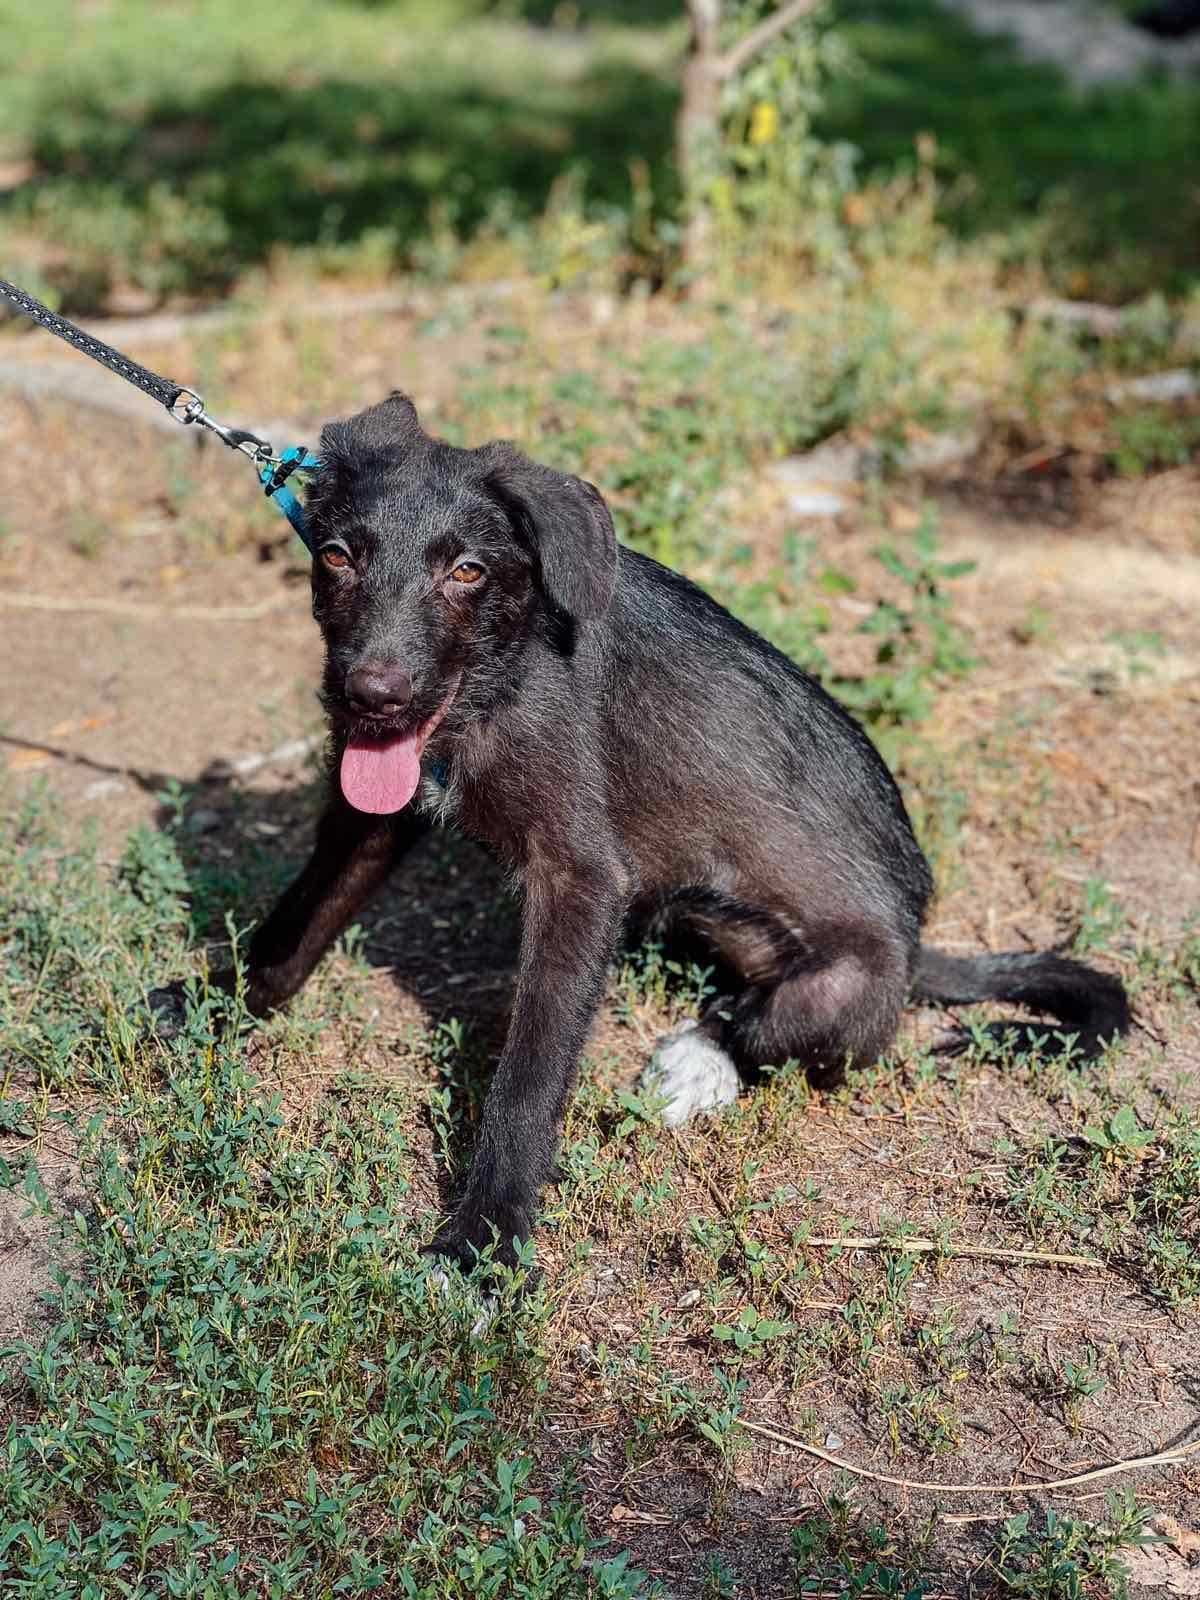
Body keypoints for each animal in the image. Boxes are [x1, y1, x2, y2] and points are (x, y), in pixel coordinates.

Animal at [164, 390, 1132, 1273]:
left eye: (467, 571)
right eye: (336, 556)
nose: (371, 697)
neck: (499, 682)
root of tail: (917, 939)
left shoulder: (582, 879)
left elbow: (529, 1075)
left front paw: (485, 1233)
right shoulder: (376, 813)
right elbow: (297, 922)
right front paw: (215, 1003)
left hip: (844, 987)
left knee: (763, 1034)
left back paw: (692, 1066)